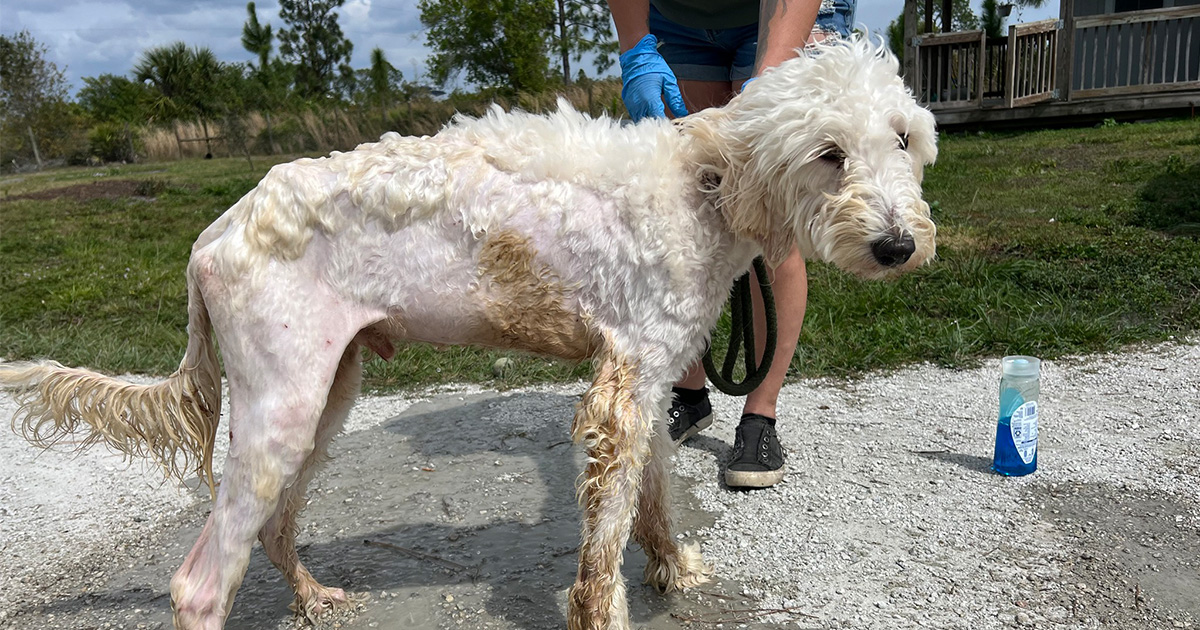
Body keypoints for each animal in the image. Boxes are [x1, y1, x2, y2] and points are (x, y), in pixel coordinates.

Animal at [0, 39, 936, 628]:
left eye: (902, 138)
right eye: (827, 153)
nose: (900, 246)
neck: (705, 182)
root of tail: (217, 227)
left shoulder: (646, 379)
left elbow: (654, 504)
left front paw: (672, 569)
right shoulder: (620, 395)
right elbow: (601, 553)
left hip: (323, 394)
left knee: (267, 529)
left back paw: (313, 598)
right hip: (282, 407)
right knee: (199, 584)